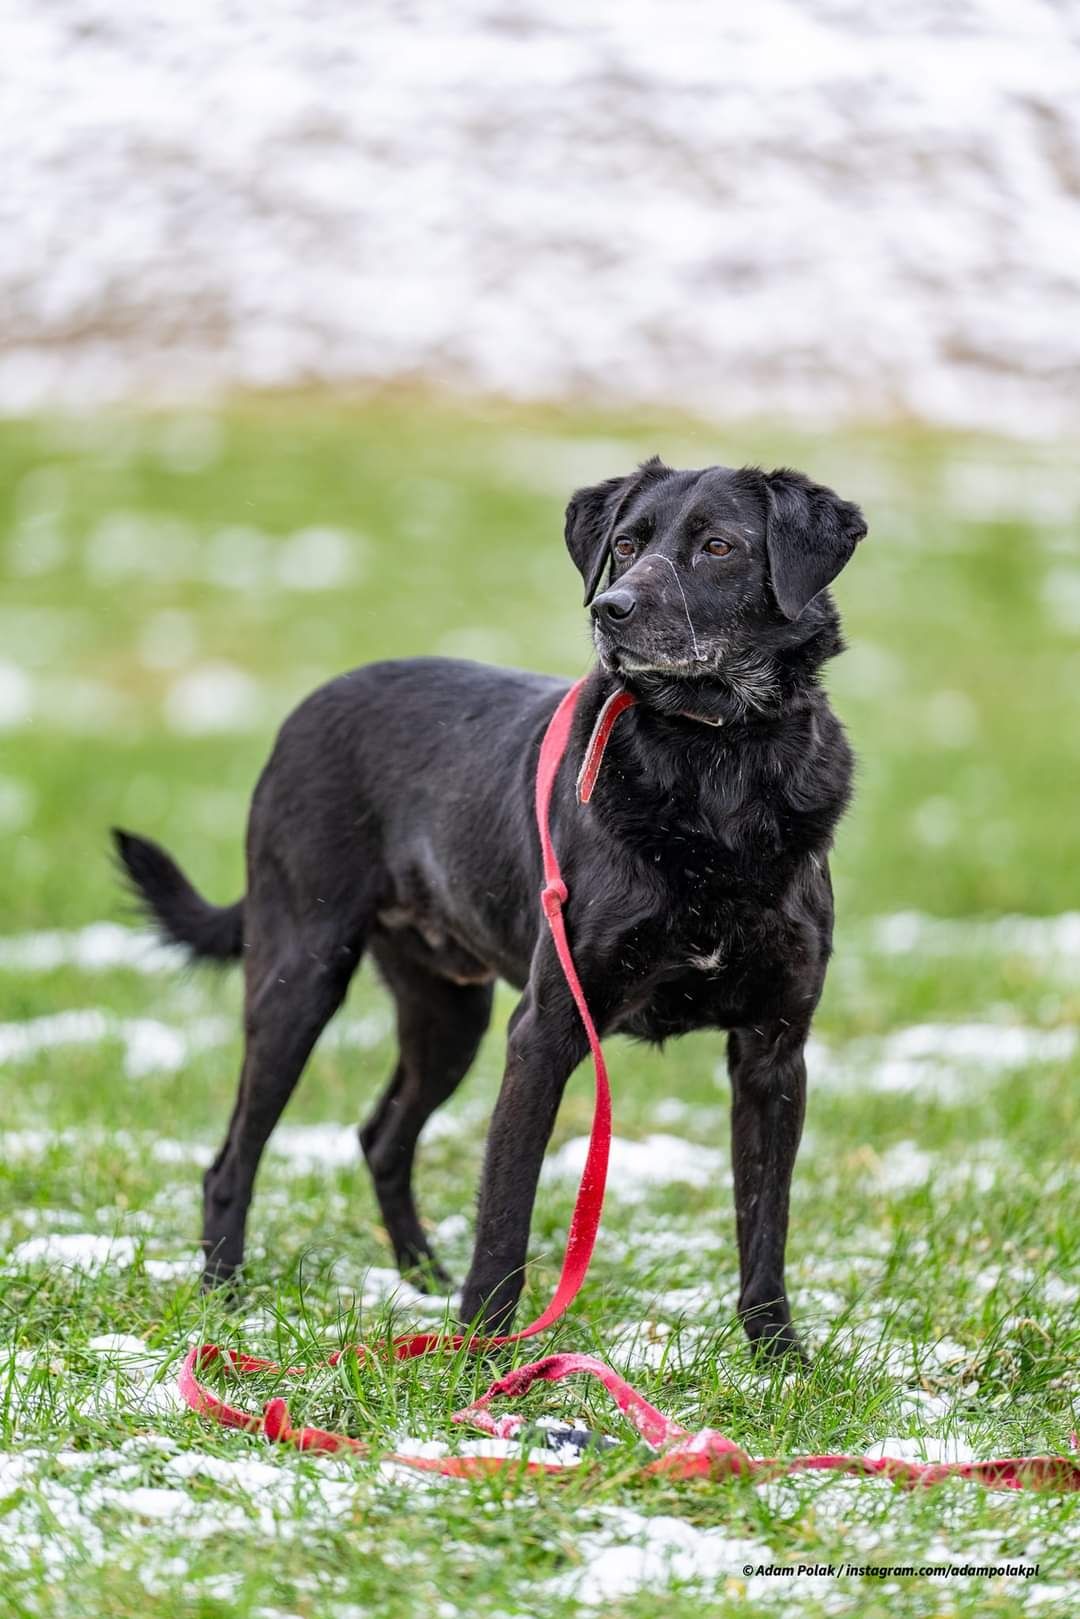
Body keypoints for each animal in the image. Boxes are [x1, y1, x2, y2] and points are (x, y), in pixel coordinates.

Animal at [114, 463, 867, 1359]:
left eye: (719, 546)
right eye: (625, 544)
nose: (610, 610)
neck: (716, 764)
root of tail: (306, 708)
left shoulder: (774, 1050)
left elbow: (765, 1218)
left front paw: (777, 1356)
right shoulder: (545, 1030)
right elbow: (506, 1212)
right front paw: (481, 1354)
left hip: (449, 1012)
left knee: (381, 1136)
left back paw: (420, 1278)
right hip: (301, 977)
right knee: (232, 1159)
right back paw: (226, 1296)